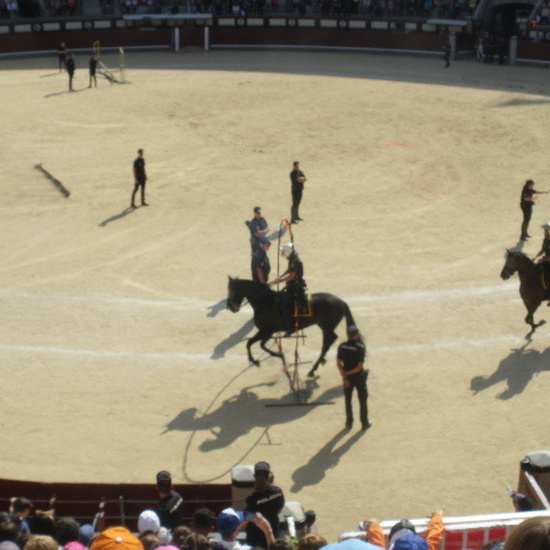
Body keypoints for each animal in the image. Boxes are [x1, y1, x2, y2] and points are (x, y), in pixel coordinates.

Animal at [227, 278, 360, 378]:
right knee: (330, 340)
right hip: (325, 326)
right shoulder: (266, 332)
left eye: (231, 290)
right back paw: (319, 363)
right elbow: (252, 343)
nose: (230, 307)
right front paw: (265, 357)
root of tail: (341, 302)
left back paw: (313, 369)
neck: (265, 302)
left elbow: (256, 344)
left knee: (328, 342)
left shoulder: (267, 331)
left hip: (326, 327)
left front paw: (262, 358)